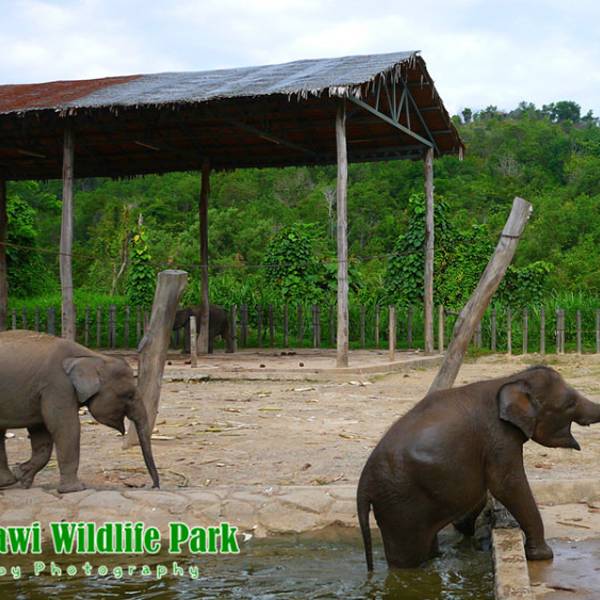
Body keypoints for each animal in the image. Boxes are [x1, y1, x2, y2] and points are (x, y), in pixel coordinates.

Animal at [0, 330, 159, 493]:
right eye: (129, 395)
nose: (154, 486)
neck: (93, 357)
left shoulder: (41, 392)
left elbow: (41, 433)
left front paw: (23, 476)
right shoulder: (57, 386)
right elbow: (66, 428)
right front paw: (75, 489)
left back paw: (6, 482)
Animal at [357, 365, 600, 570]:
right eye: (570, 404)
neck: (511, 379)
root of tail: (363, 486)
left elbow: (485, 489)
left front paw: (464, 527)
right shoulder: (499, 436)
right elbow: (506, 484)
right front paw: (542, 556)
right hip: (400, 507)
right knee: (407, 557)